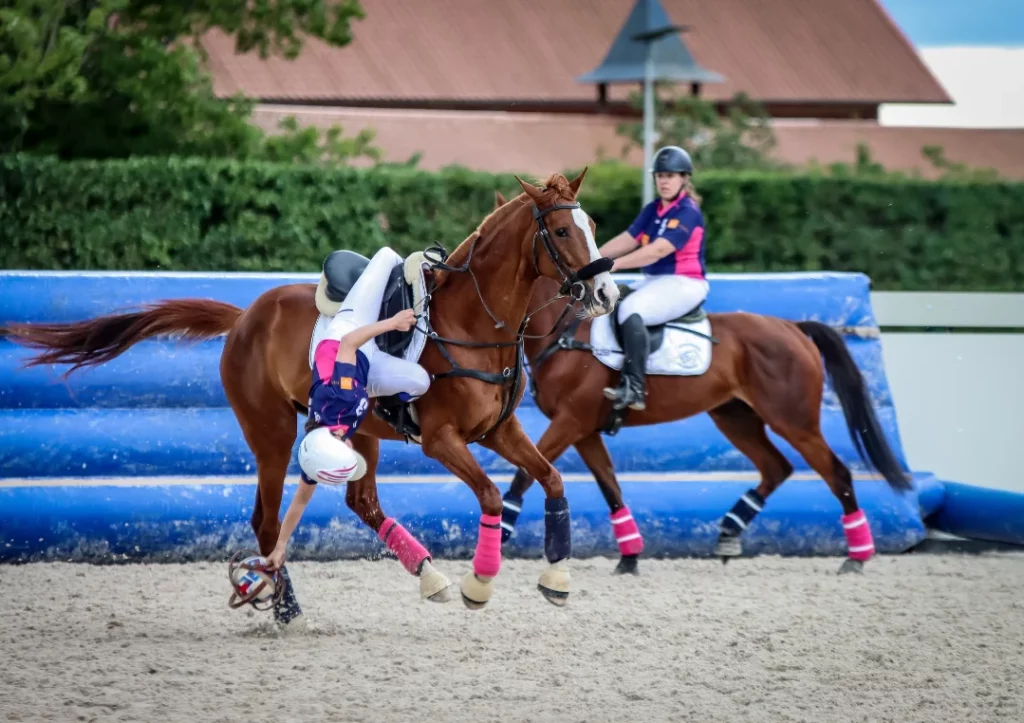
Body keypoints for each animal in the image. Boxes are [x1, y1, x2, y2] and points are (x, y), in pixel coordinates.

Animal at [1, 171, 620, 623]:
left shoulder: (498, 430)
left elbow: (552, 479)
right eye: (562, 233)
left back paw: (427, 575)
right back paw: (286, 605)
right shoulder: (442, 440)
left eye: (591, 224)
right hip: (272, 433)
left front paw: (556, 577)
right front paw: (480, 583)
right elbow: (491, 494)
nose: (605, 293)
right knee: (268, 518)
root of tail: (245, 316)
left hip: (360, 432)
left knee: (361, 503)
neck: (473, 319)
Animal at [490, 193, 910, 576]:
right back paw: (728, 532)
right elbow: (611, 488)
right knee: (776, 468)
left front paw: (502, 533)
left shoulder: (571, 421)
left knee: (836, 473)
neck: (564, 334)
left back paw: (856, 557)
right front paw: (629, 557)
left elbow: (526, 475)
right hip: (735, 417)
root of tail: (793, 327)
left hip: (793, 421)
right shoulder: (585, 430)